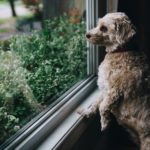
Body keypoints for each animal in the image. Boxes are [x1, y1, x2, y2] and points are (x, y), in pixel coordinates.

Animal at [78, 12, 150, 149]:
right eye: (98, 24)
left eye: (104, 28)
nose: (87, 34)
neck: (121, 51)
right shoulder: (104, 89)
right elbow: (96, 103)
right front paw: (87, 112)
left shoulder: (115, 91)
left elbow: (102, 106)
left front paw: (105, 123)